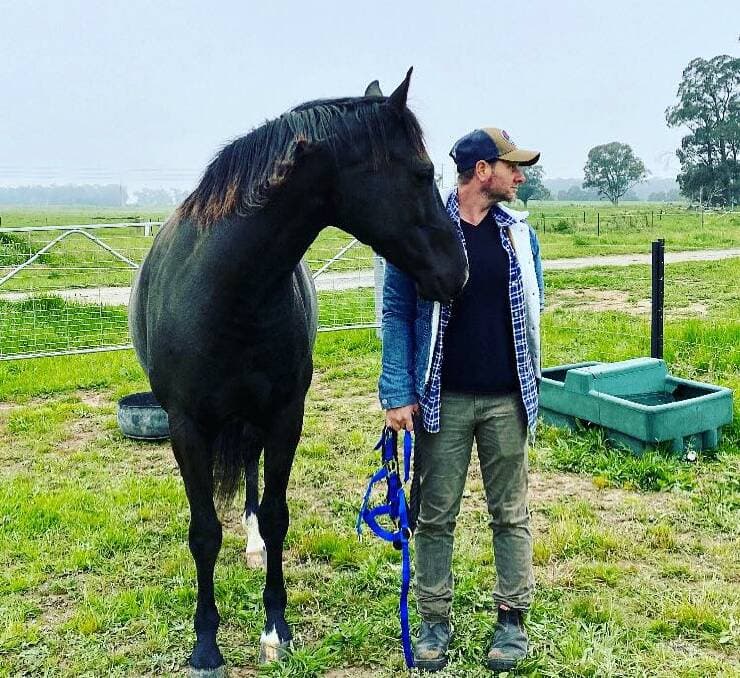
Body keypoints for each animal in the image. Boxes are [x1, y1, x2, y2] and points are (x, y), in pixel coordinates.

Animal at [129, 69, 468, 675]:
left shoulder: (286, 416)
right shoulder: (186, 426)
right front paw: (206, 644)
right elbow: (203, 533)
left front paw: (275, 629)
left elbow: (277, 515)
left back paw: (252, 542)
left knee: (252, 477)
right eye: (423, 172)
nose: (459, 270)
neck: (226, 290)